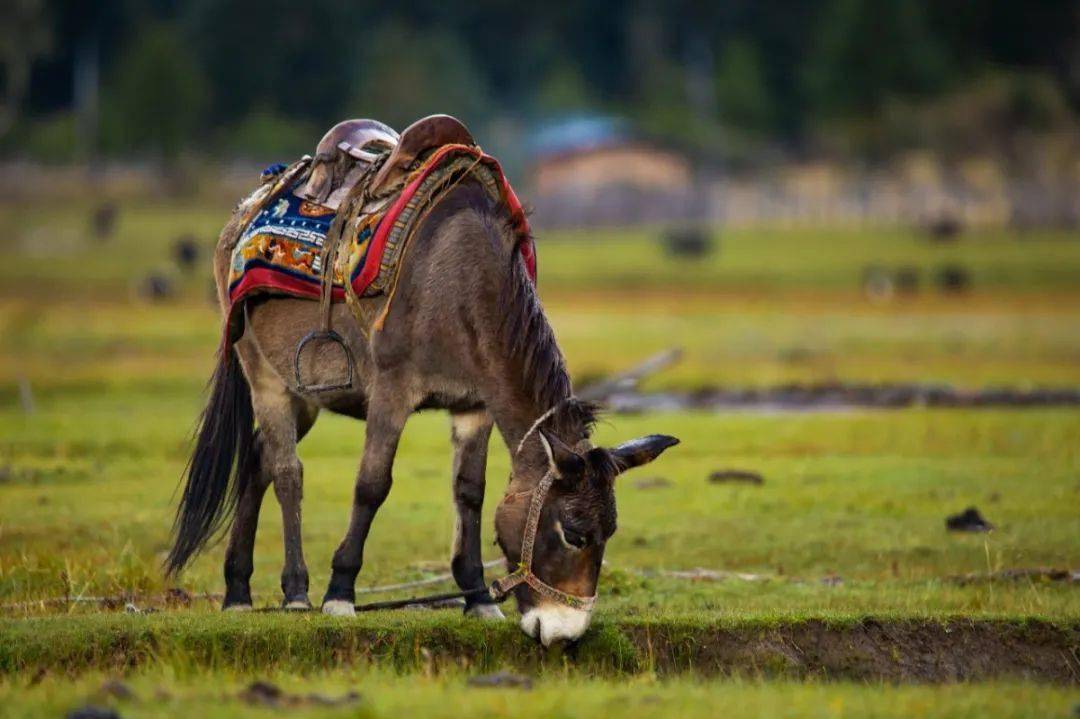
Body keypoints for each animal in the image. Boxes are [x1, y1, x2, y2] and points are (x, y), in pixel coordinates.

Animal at [166, 164, 673, 643]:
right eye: (573, 534)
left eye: (607, 535)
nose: (565, 634)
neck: (461, 285)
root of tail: (243, 215)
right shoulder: (391, 392)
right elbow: (372, 485)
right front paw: (339, 593)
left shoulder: (474, 406)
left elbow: (469, 491)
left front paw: (477, 599)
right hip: (265, 375)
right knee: (288, 471)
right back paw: (295, 591)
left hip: (304, 392)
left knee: (259, 460)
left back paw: (238, 591)